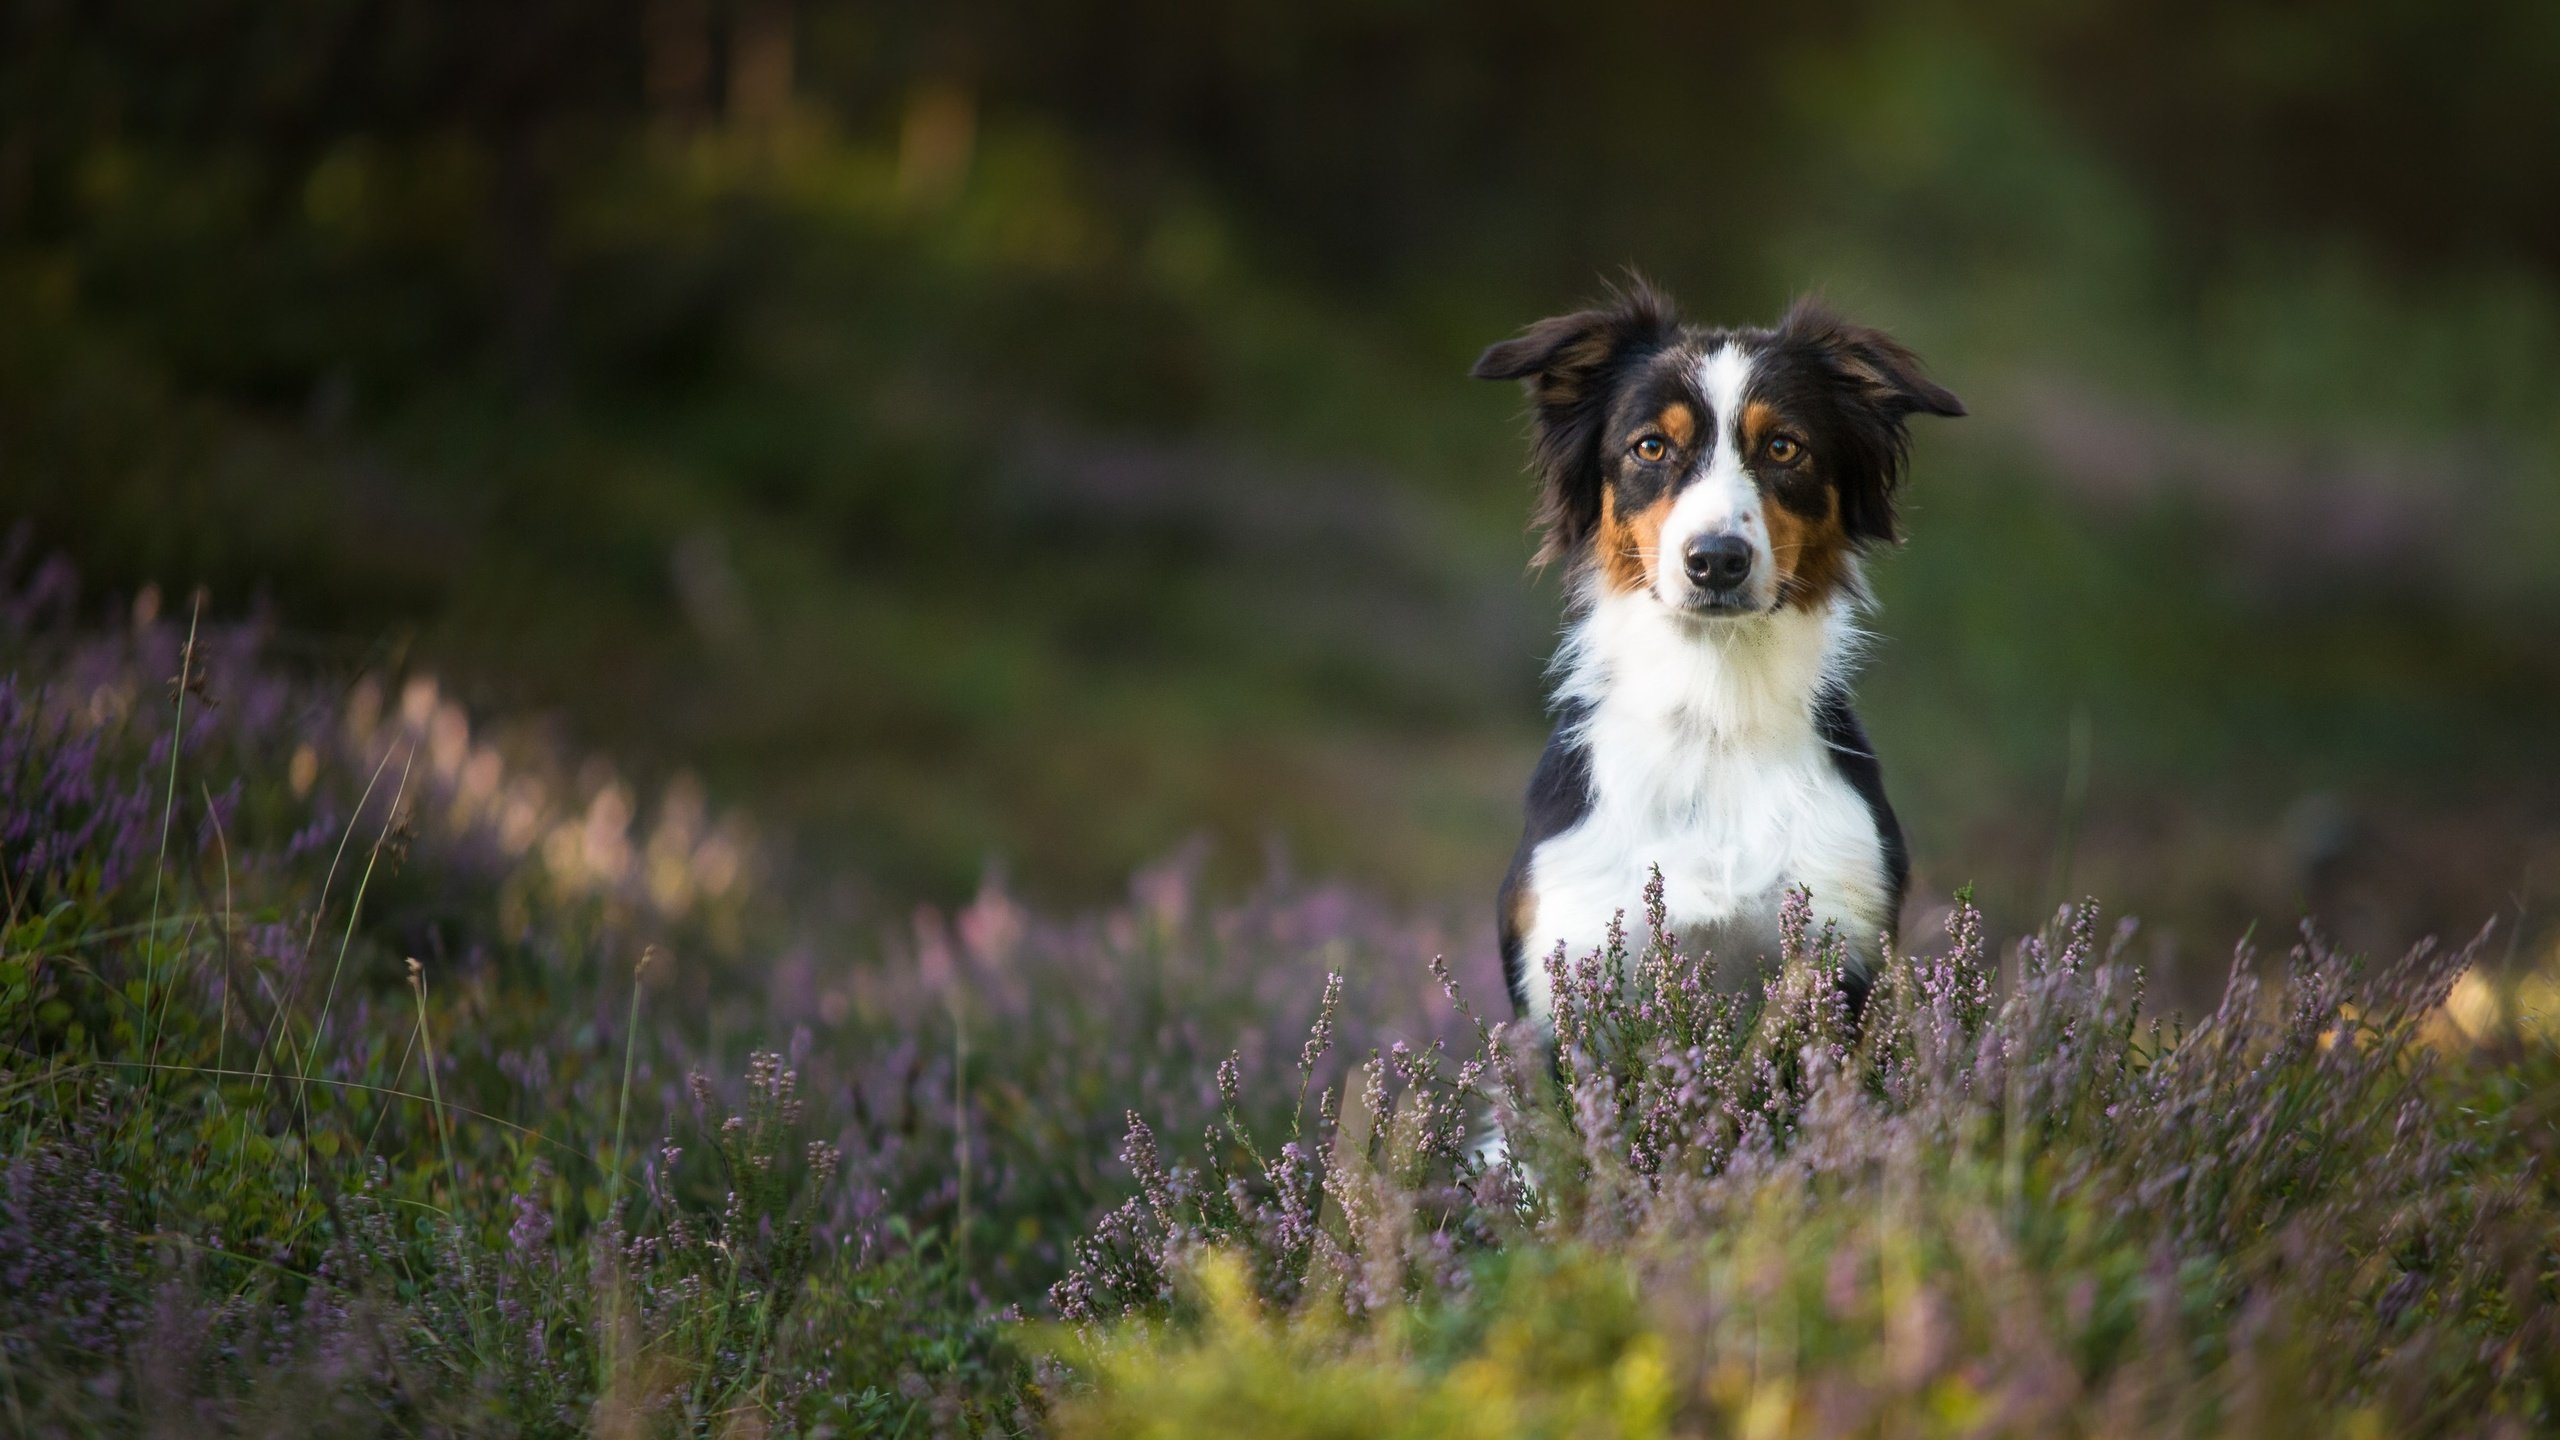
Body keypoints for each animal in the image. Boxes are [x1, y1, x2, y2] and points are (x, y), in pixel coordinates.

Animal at [1474, 280, 1966, 1019]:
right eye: (1650, 447)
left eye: (1785, 448)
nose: (1715, 560)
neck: (1714, 708)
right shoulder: (1569, 969)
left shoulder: (1841, 946)